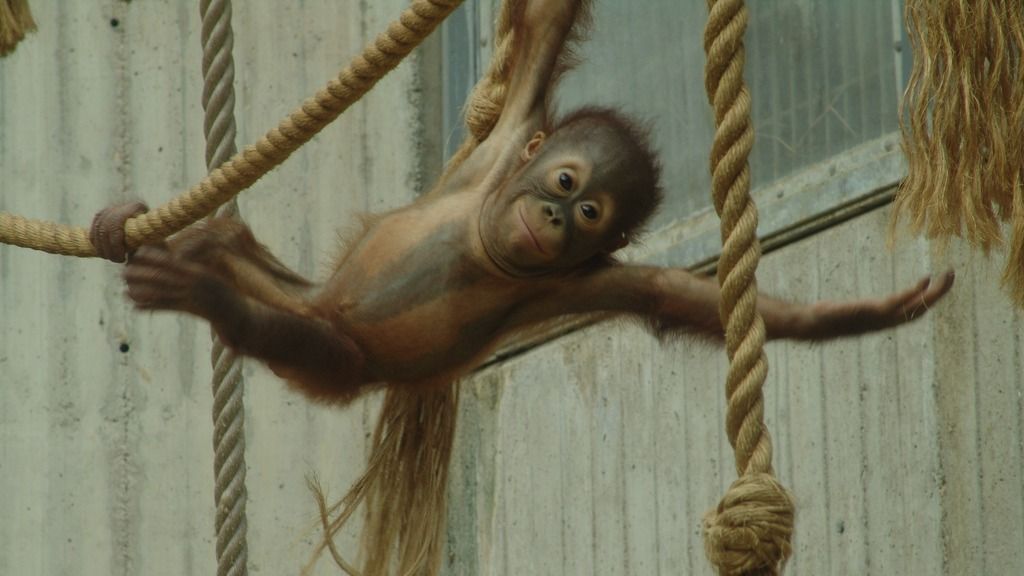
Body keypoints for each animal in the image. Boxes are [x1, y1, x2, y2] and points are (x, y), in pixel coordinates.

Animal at [91, 0, 954, 407]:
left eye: (590, 219)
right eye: (566, 184)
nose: (552, 219)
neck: (484, 238)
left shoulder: (592, 279)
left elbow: (675, 297)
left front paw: (865, 312)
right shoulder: (512, 134)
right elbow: (542, 25)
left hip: (343, 359)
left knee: (316, 342)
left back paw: (202, 293)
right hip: (314, 291)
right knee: (246, 255)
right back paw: (158, 241)